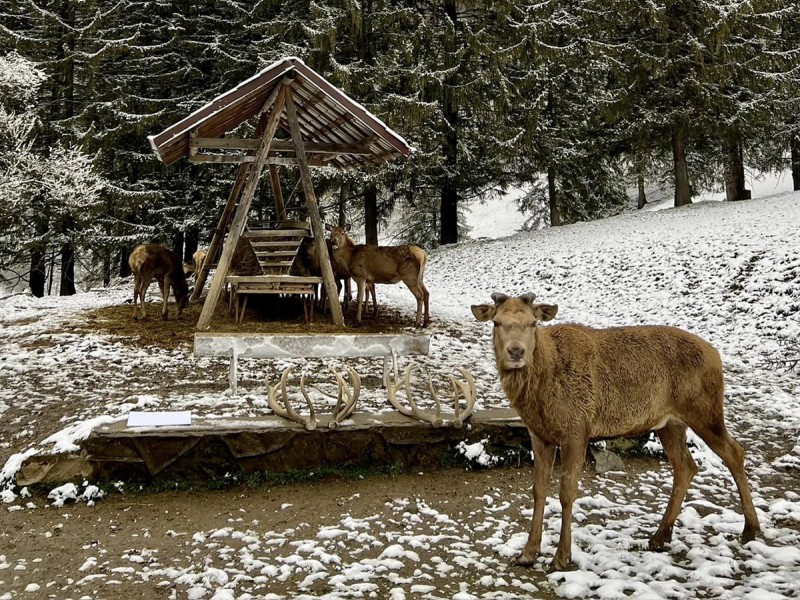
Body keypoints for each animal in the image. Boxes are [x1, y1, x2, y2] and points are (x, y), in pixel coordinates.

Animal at [471, 292, 760, 572]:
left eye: (533, 323)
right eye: (497, 322)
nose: (516, 351)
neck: (538, 396)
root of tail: (716, 355)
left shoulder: (577, 428)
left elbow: (567, 492)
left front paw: (562, 556)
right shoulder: (539, 434)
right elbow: (537, 490)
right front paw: (527, 554)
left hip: (705, 411)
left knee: (735, 452)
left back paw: (750, 529)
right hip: (670, 423)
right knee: (685, 466)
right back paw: (659, 536)